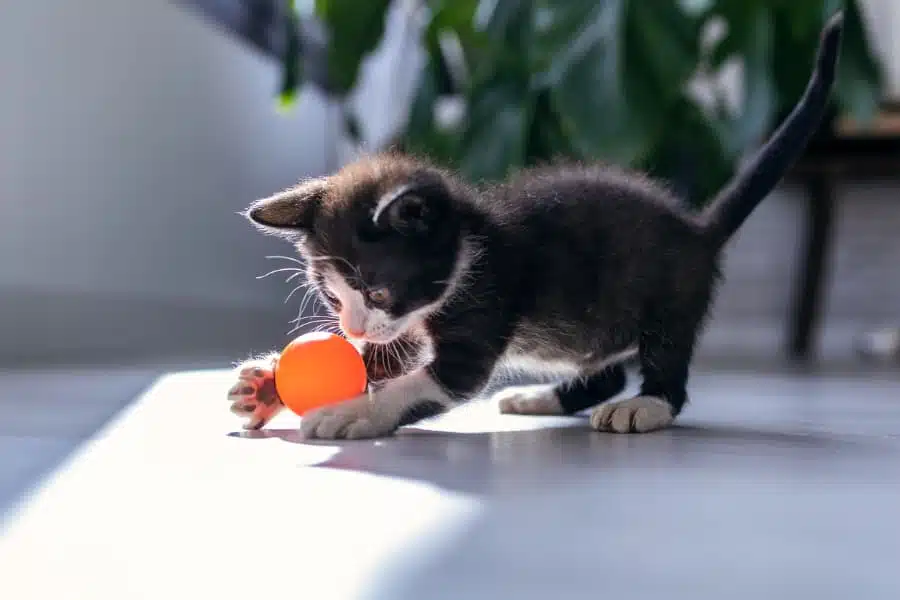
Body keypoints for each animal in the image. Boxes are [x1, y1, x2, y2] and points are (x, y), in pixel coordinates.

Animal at [229, 11, 848, 438]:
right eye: (334, 300)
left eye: (377, 290)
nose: (352, 330)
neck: (470, 246)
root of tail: (697, 229)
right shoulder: (408, 325)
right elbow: (389, 357)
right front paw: (267, 387)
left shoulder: (484, 304)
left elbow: (421, 381)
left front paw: (356, 412)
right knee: (605, 368)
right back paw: (544, 398)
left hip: (672, 298)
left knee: (667, 362)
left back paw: (644, 405)